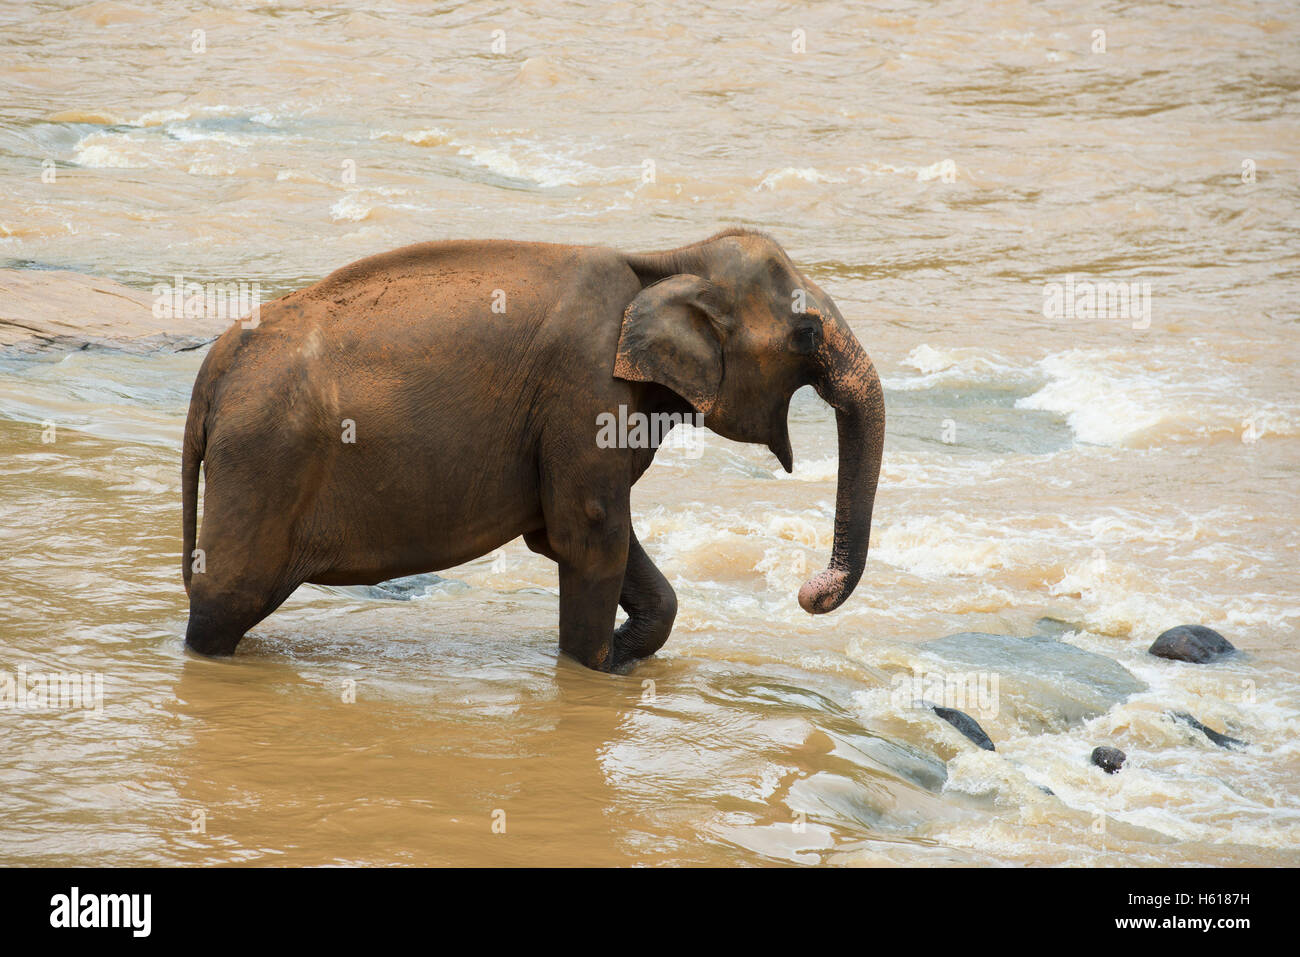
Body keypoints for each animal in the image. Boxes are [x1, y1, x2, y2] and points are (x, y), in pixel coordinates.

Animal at [181, 228, 886, 672]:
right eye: (806, 333)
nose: (808, 593)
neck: (666, 258)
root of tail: (214, 366)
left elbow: (568, 532)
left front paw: (620, 657)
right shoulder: (584, 387)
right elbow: (591, 533)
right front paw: (596, 669)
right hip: (263, 456)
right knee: (227, 598)